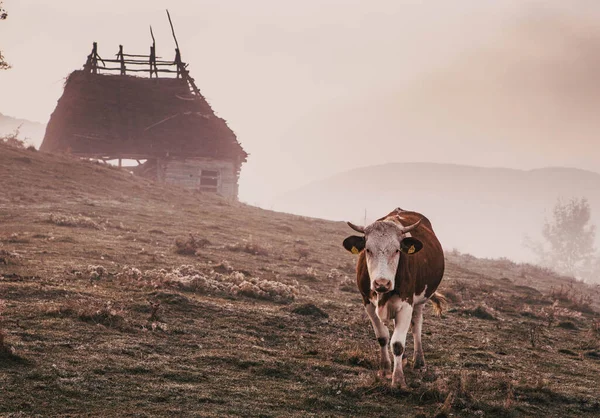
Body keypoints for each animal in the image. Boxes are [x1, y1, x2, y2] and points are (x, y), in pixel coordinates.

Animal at [342, 207, 446, 386]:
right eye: (368, 249)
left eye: (397, 250)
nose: (381, 283)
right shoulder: (368, 303)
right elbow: (383, 337)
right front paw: (384, 369)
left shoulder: (406, 304)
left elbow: (397, 344)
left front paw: (398, 380)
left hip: (420, 301)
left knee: (416, 326)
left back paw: (419, 362)